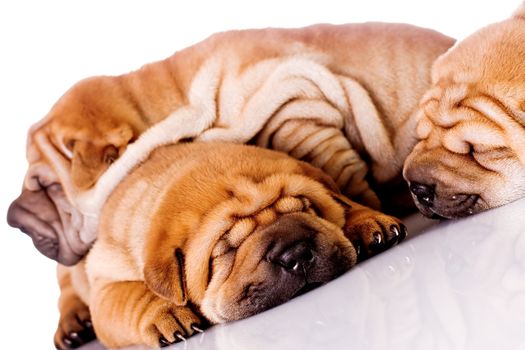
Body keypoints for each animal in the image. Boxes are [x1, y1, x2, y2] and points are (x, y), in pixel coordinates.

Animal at [54, 143, 406, 350]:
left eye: (306, 208)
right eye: (226, 250)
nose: (295, 255)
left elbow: (342, 201)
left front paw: (366, 221)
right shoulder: (104, 284)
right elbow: (130, 296)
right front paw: (166, 314)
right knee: (67, 292)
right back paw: (73, 326)